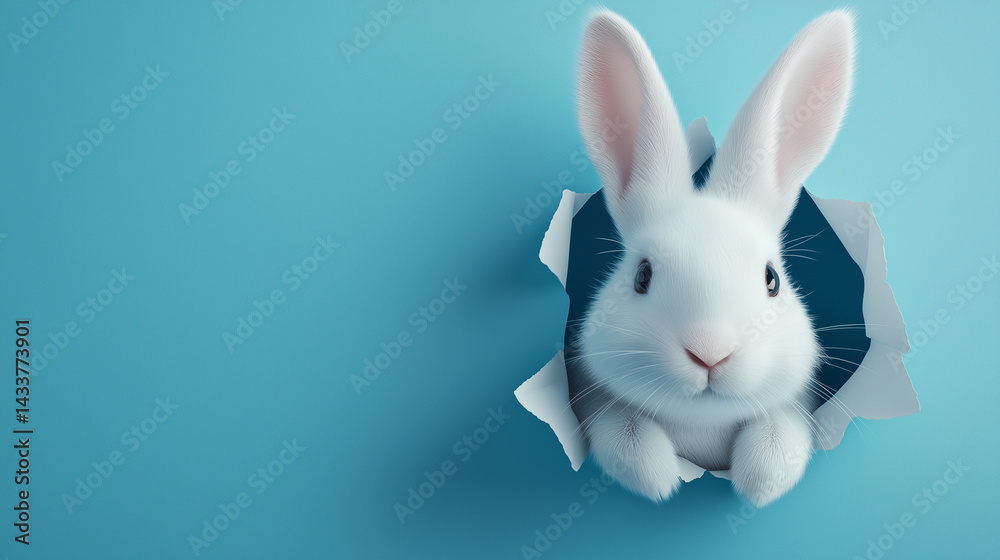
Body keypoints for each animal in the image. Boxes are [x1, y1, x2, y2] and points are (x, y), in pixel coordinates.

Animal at [568, 9, 855, 507]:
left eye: (771, 279)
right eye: (642, 276)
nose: (710, 352)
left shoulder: (793, 410)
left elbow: (778, 438)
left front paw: (759, 483)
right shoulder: (596, 403)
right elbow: (625, 433)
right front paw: (658, 477)